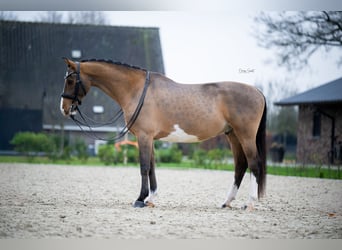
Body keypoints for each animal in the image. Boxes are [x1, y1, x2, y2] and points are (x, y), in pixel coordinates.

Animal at [59, 58, 268, 211]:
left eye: (70, 80)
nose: (64, 109)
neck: (137, 90)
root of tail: (257, 91)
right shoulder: (149, 138)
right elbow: (152, 167)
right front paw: (150, 199)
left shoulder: (144, 136)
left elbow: (144, 167)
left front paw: (140, 199)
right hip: (232, 135)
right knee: (240, 166)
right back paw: (226, 202)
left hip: (245, 136)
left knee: (253, 164)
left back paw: (249, 203)